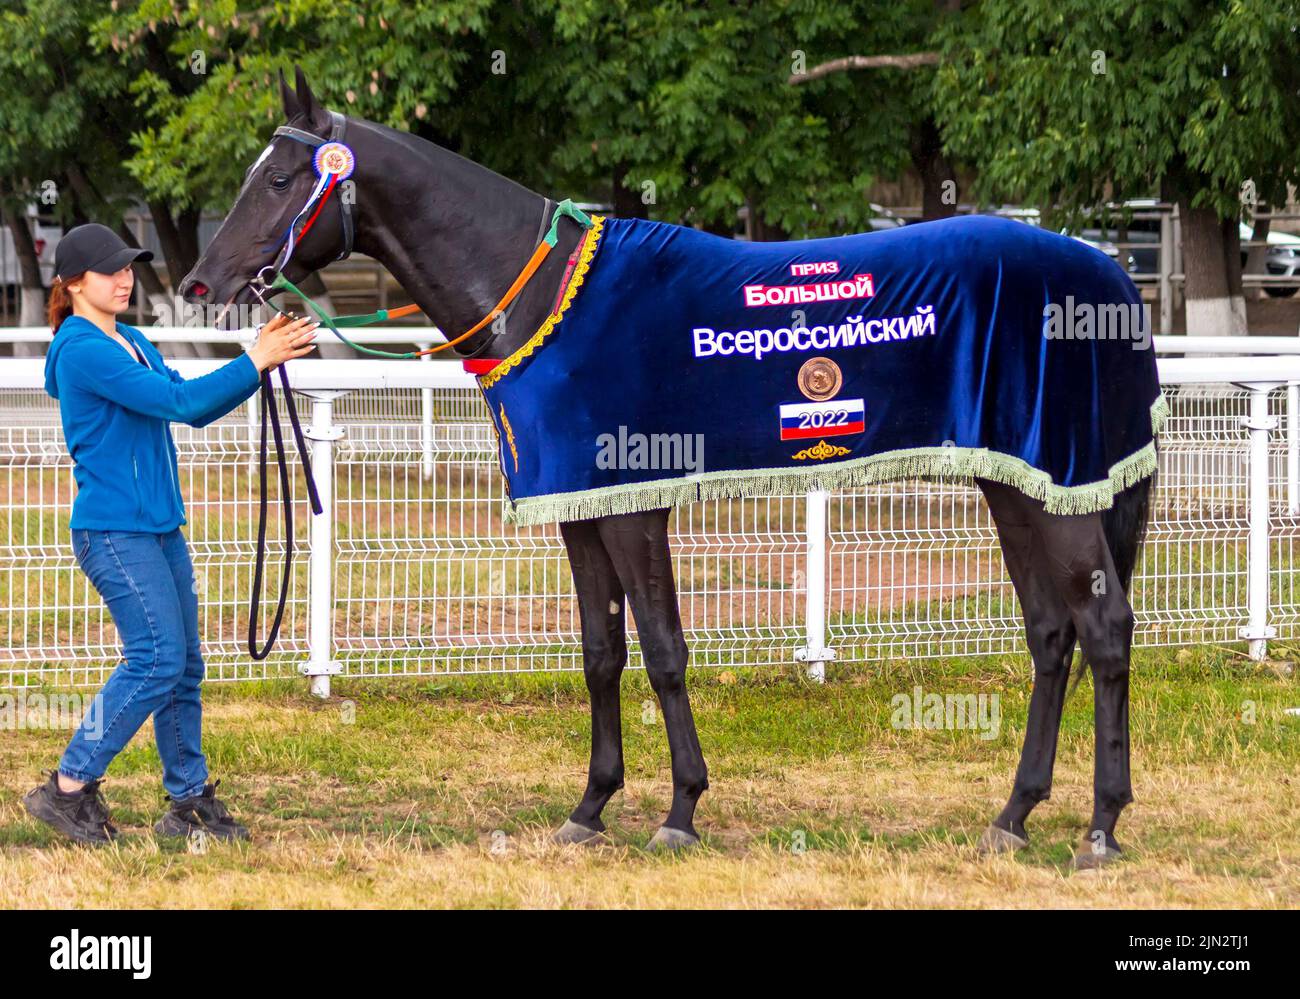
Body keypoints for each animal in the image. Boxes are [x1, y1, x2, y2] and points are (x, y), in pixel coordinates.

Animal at [185, 70, 1159, 863]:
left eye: (280, 179)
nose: (201, 282)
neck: (549, 296)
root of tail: (1110, 273)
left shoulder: (630, 507)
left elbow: (661, 650)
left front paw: (680, 810)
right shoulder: (579, 511)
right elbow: (601, 652)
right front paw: (590, 807)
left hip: (1063, 493)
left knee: (1105, 631)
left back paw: (1103, 827)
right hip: (1020, 486)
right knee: (1050, 634)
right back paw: (1014, 815)